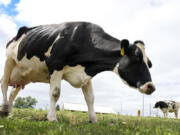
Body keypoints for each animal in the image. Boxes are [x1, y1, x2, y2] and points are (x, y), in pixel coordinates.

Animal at [0, 21, 155, 122]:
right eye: (137, 57)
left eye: (149, 63)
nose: (151, 86)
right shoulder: (55, 64)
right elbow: (55, 93)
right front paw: (52, 118)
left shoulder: (86, 73)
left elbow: (90, 98)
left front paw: (93, 119)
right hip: (9, 60)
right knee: (4, 84)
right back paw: (4, 110)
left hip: (24, 74)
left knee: (13, 92)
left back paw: (9, 112)